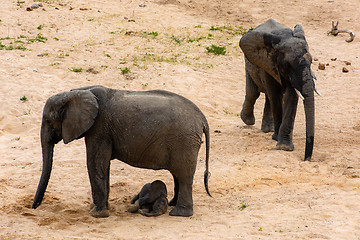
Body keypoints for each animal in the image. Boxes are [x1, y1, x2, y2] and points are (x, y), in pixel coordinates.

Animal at [31, 86, 211, 218]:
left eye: (48, 120)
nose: (33, 207)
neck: (76, 92)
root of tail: (202, 118)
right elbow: (103, 166)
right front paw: (100, 209)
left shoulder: (99, 128)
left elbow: (95, 163)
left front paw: (97, 214)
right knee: (178, 175)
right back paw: (173, 204)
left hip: (184, 141)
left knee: (184, 175)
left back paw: (179, 214)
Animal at [239, 18, 318, 161]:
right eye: (287, 64)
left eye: (311, 62)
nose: (306, 159)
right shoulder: (268, 63)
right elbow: (275, 94)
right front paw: (279, 142)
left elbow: (291, 97)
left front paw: (284, 147)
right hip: (249, 63)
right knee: (254, 93)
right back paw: (248, 120)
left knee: (267, 97)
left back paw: (267, 129)